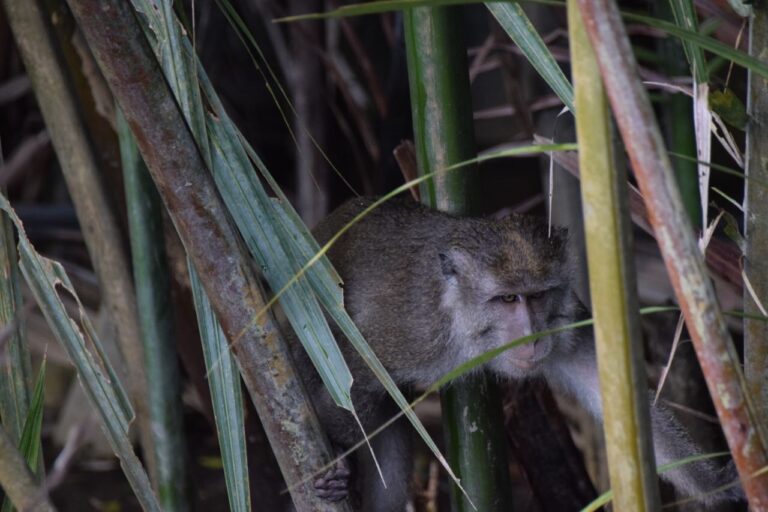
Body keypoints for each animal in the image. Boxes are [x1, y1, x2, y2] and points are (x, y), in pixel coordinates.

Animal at [284, 194, 740, 510]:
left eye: (536, 297)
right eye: (507, 299)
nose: (531, 337)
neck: (459, 319)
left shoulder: (564, 320)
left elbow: (606, 387)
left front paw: (719, 485)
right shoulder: (410, 333)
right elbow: (347, 383)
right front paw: (340, 465)